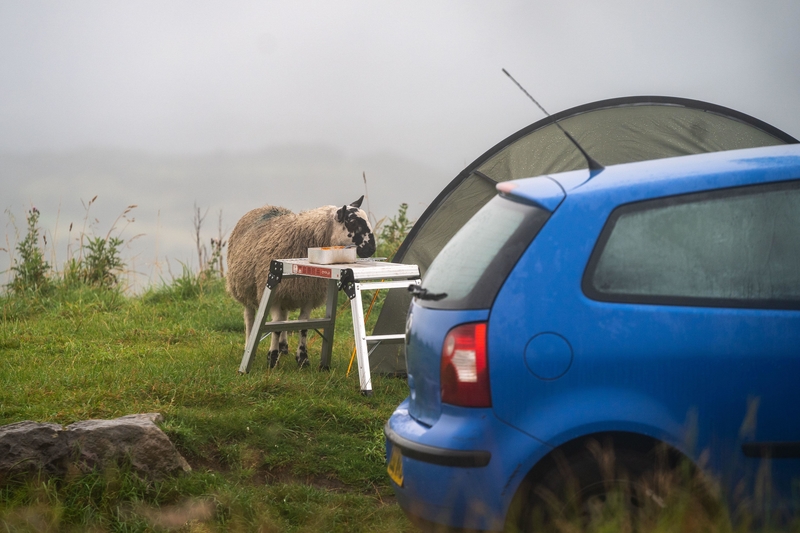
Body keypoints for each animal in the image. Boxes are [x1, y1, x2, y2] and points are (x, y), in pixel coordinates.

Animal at [225, 194, 376, 366]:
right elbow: (275, 327)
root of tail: (264, 206)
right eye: (352, 222)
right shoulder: (275, 295)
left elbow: (303, 326)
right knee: (250, 316)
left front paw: (302, 358)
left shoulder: (307, 294)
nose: (372, 249)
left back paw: (283, 347)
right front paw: (272, 358)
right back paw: (250, 344)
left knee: (284, 317)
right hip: (245, 287)